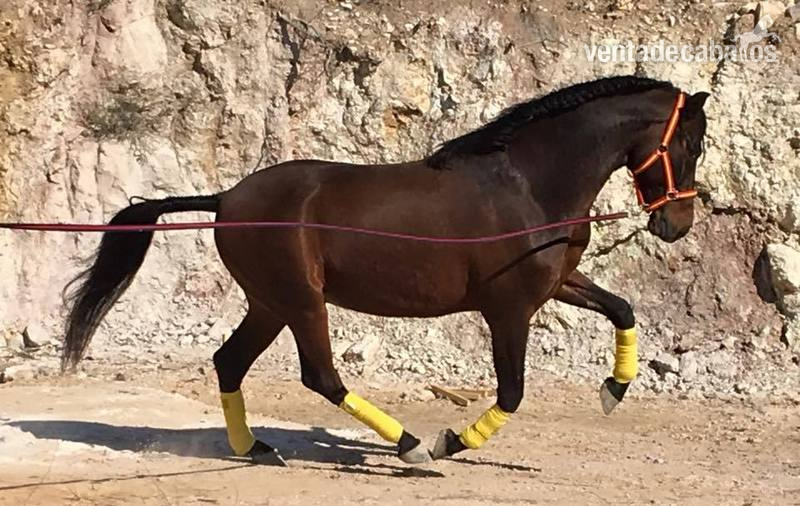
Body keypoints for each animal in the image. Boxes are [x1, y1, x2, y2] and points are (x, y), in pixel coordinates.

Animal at [61, 75, 709, 466]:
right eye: (693, 145)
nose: (676, 224)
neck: (529, 186)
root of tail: (227, 198)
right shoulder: (508, 309)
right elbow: (512, 391)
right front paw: (450, 442)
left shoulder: (554, 287)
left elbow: (623, 309)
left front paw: (613, 391)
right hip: (301, 302)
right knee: (321, 376)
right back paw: (410, 445)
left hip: (270, 304)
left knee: (229, 362)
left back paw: (254, 448)